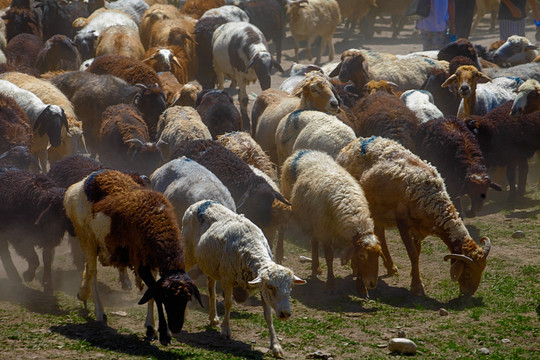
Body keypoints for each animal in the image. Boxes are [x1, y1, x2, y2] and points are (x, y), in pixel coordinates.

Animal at [63, 171, 202, 346]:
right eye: (168, 298)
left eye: (187, 299)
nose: (176, 327)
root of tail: (82, 182)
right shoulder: (141, 263)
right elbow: (155, 293)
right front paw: (163, 334)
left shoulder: (152, 263)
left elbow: (152, 291)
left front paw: (151, 328)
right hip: (87, 236)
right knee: (93, 272)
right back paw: (99, 312)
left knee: (88, 267)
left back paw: (83, 293)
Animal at [184, 200, 306, 358]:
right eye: (271, 287)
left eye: (291, 287)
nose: (285, 314)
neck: (250, 246)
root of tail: (201, 202)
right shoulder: (228, 279)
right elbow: (228, 303)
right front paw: (226, 330)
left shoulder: (260, 286)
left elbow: (268, 315)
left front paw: (276, 346)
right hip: (188, 252)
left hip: (209, 262)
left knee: (211, 287)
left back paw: (213, 318)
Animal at [280, 149, 382, 296]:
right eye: (363, 256)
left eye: (379, 255)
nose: (372, 284)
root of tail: (302, 152)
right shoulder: (325, 232)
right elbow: (329, 257)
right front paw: (331, 284)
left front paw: (362, 288)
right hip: (289, 203)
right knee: (282, 228)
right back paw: (279, 254)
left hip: (314, 220)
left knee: (313, 242)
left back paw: (315, 268)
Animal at [338, 136, 494, 296]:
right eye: (467, 272)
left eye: (482, 270)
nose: (469, 292)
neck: (431, 199)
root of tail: (354, 143)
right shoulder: (403, 224)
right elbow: (412, 254)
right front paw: (417, 286)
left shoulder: (419, 229)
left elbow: (417, 253)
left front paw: (415, 277)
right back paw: (356, 268)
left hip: (378, 211)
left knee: (380, 233)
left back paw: (390, 267)